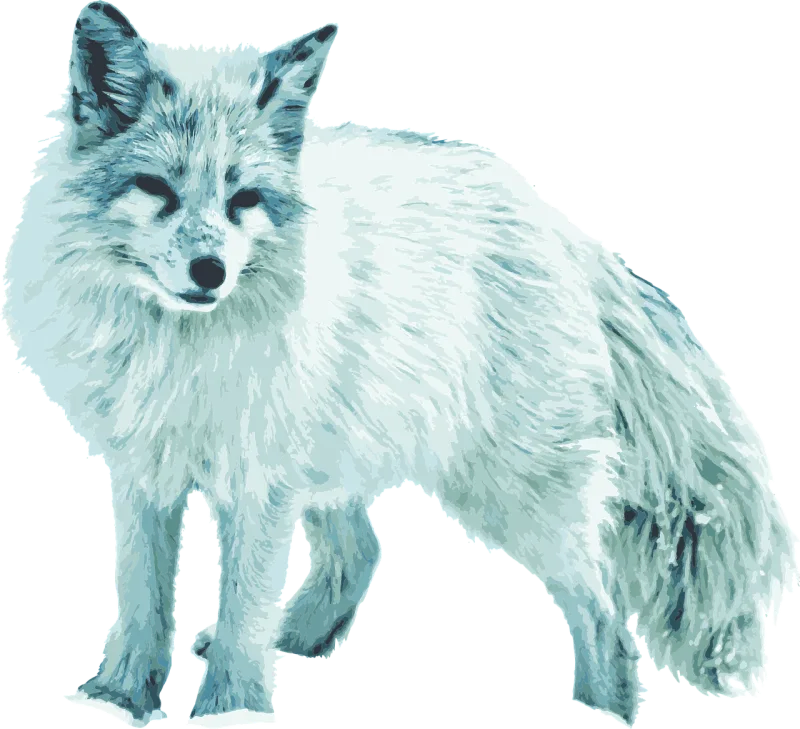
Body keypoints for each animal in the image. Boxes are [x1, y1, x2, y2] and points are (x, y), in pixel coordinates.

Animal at [3, 3, 796, 726]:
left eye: (244, 199)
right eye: (157, 190)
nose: (209, 272)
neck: (178, 351)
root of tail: (558, 225)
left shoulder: (259, 480)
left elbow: (242, 603)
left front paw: (231, 711)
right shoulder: (144, 468)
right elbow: (142, 598)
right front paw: (120, 700)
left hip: (510, 492)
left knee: (605, 617)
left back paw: (604, 713)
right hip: (342, 464)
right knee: (363, 551)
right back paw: (297, 641)